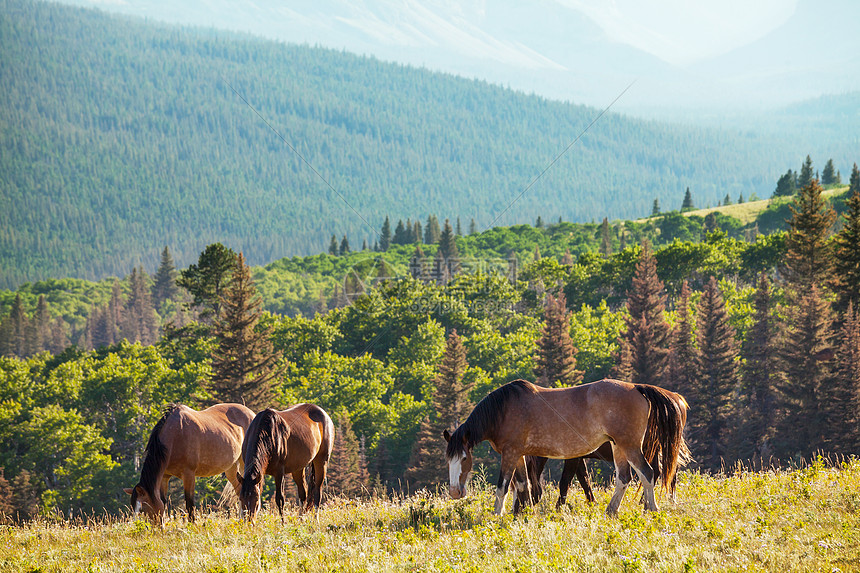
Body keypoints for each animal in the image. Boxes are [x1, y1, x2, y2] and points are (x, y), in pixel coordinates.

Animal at [123, 402, 255, 524]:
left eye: (142, 509)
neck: (175, 436)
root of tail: (251, 413)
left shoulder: (189, 475)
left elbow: (189, 504)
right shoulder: (164, 477)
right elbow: (163, 501)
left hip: (244, 464)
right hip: (231, 469)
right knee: (239, 490)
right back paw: (241, 519)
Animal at [444, 378, 684, 516]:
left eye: (464, 458)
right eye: (449, 460)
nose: (455, 492)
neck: (503, 411)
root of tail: (636, 388)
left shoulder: (510, 454)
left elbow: (503, 485)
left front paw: (497, 515)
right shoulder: (519, 455)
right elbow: (522, 485)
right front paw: (523, 513)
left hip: (630, 446)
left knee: (647, 473)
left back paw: (651, 509)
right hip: (619, 447)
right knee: (624, 478)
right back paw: (611, 511)